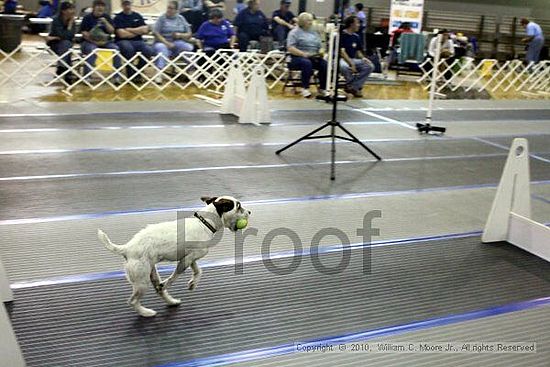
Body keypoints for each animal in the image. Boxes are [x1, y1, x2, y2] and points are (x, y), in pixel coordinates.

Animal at [98, 197, 250, 318]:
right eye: (238, 206)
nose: (249, 212)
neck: (205, 223)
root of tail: (127, 248)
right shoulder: (187, 259)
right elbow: (175, 275)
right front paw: (168, 283)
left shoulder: (190, 258)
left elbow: (198, 271)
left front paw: (193, 283)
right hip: (142, 281)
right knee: (133, 301)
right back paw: (146, 312)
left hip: (151, 273)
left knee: (158, 291)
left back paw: (172, 301)